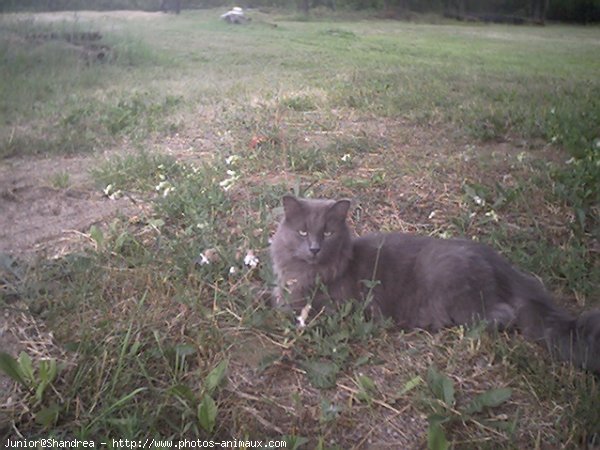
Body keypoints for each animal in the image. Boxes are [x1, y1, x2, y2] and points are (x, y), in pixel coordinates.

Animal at [270, 195, 600, 374]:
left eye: (327, 233)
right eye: (302, 232)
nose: (314, 248)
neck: (310, 272)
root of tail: (495, 259)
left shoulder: (324, 308)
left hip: (457, 293)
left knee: (503, 314)